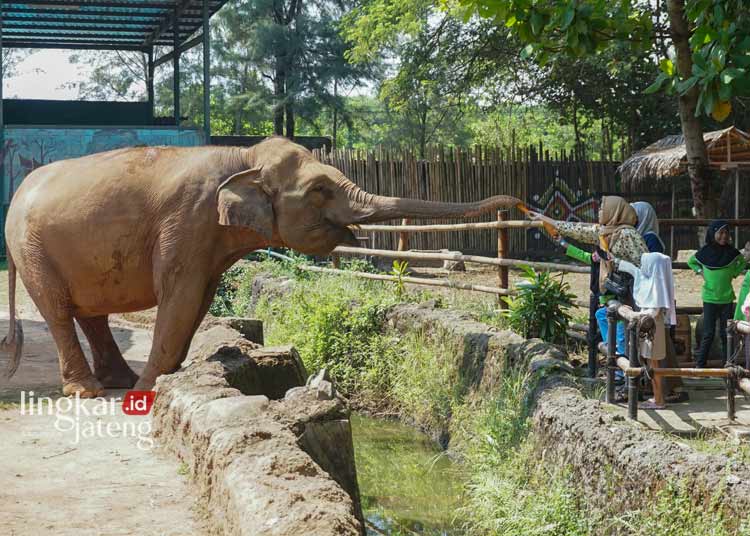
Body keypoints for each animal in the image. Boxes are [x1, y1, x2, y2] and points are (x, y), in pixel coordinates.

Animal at [0, 138, 520, 398]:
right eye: (319, 191)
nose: (521, 204)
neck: (244, 156)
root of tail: (17, 191)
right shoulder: (186, 221)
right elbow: (179, 295)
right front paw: (149, 392)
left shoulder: (207, 241)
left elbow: (199, 300)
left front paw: (171, 377)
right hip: (31, 249)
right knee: (58, 310)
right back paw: (89, 392)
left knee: (89, 312)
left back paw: (118, 382)